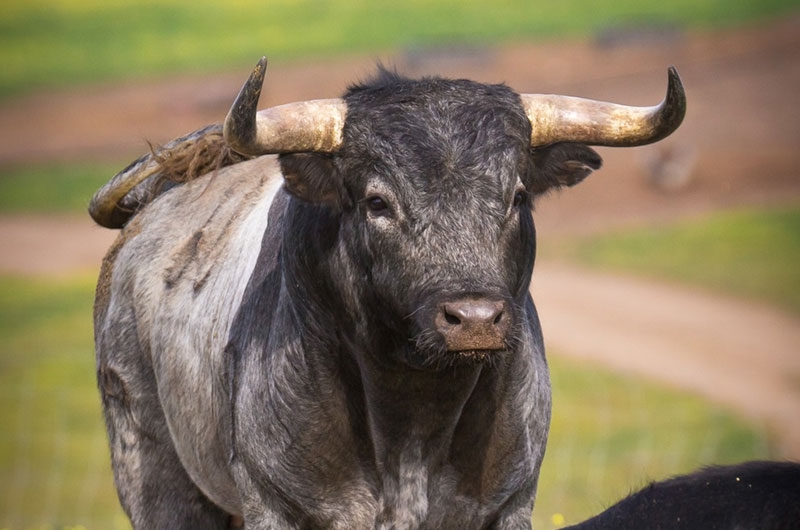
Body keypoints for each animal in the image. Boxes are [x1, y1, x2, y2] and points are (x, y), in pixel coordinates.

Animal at [89, 58, 688, 528]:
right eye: (378, 203)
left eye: (517, 196)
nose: (475, 318)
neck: (412, 415)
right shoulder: (270, 501)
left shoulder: (512, 501)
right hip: (151, 471)